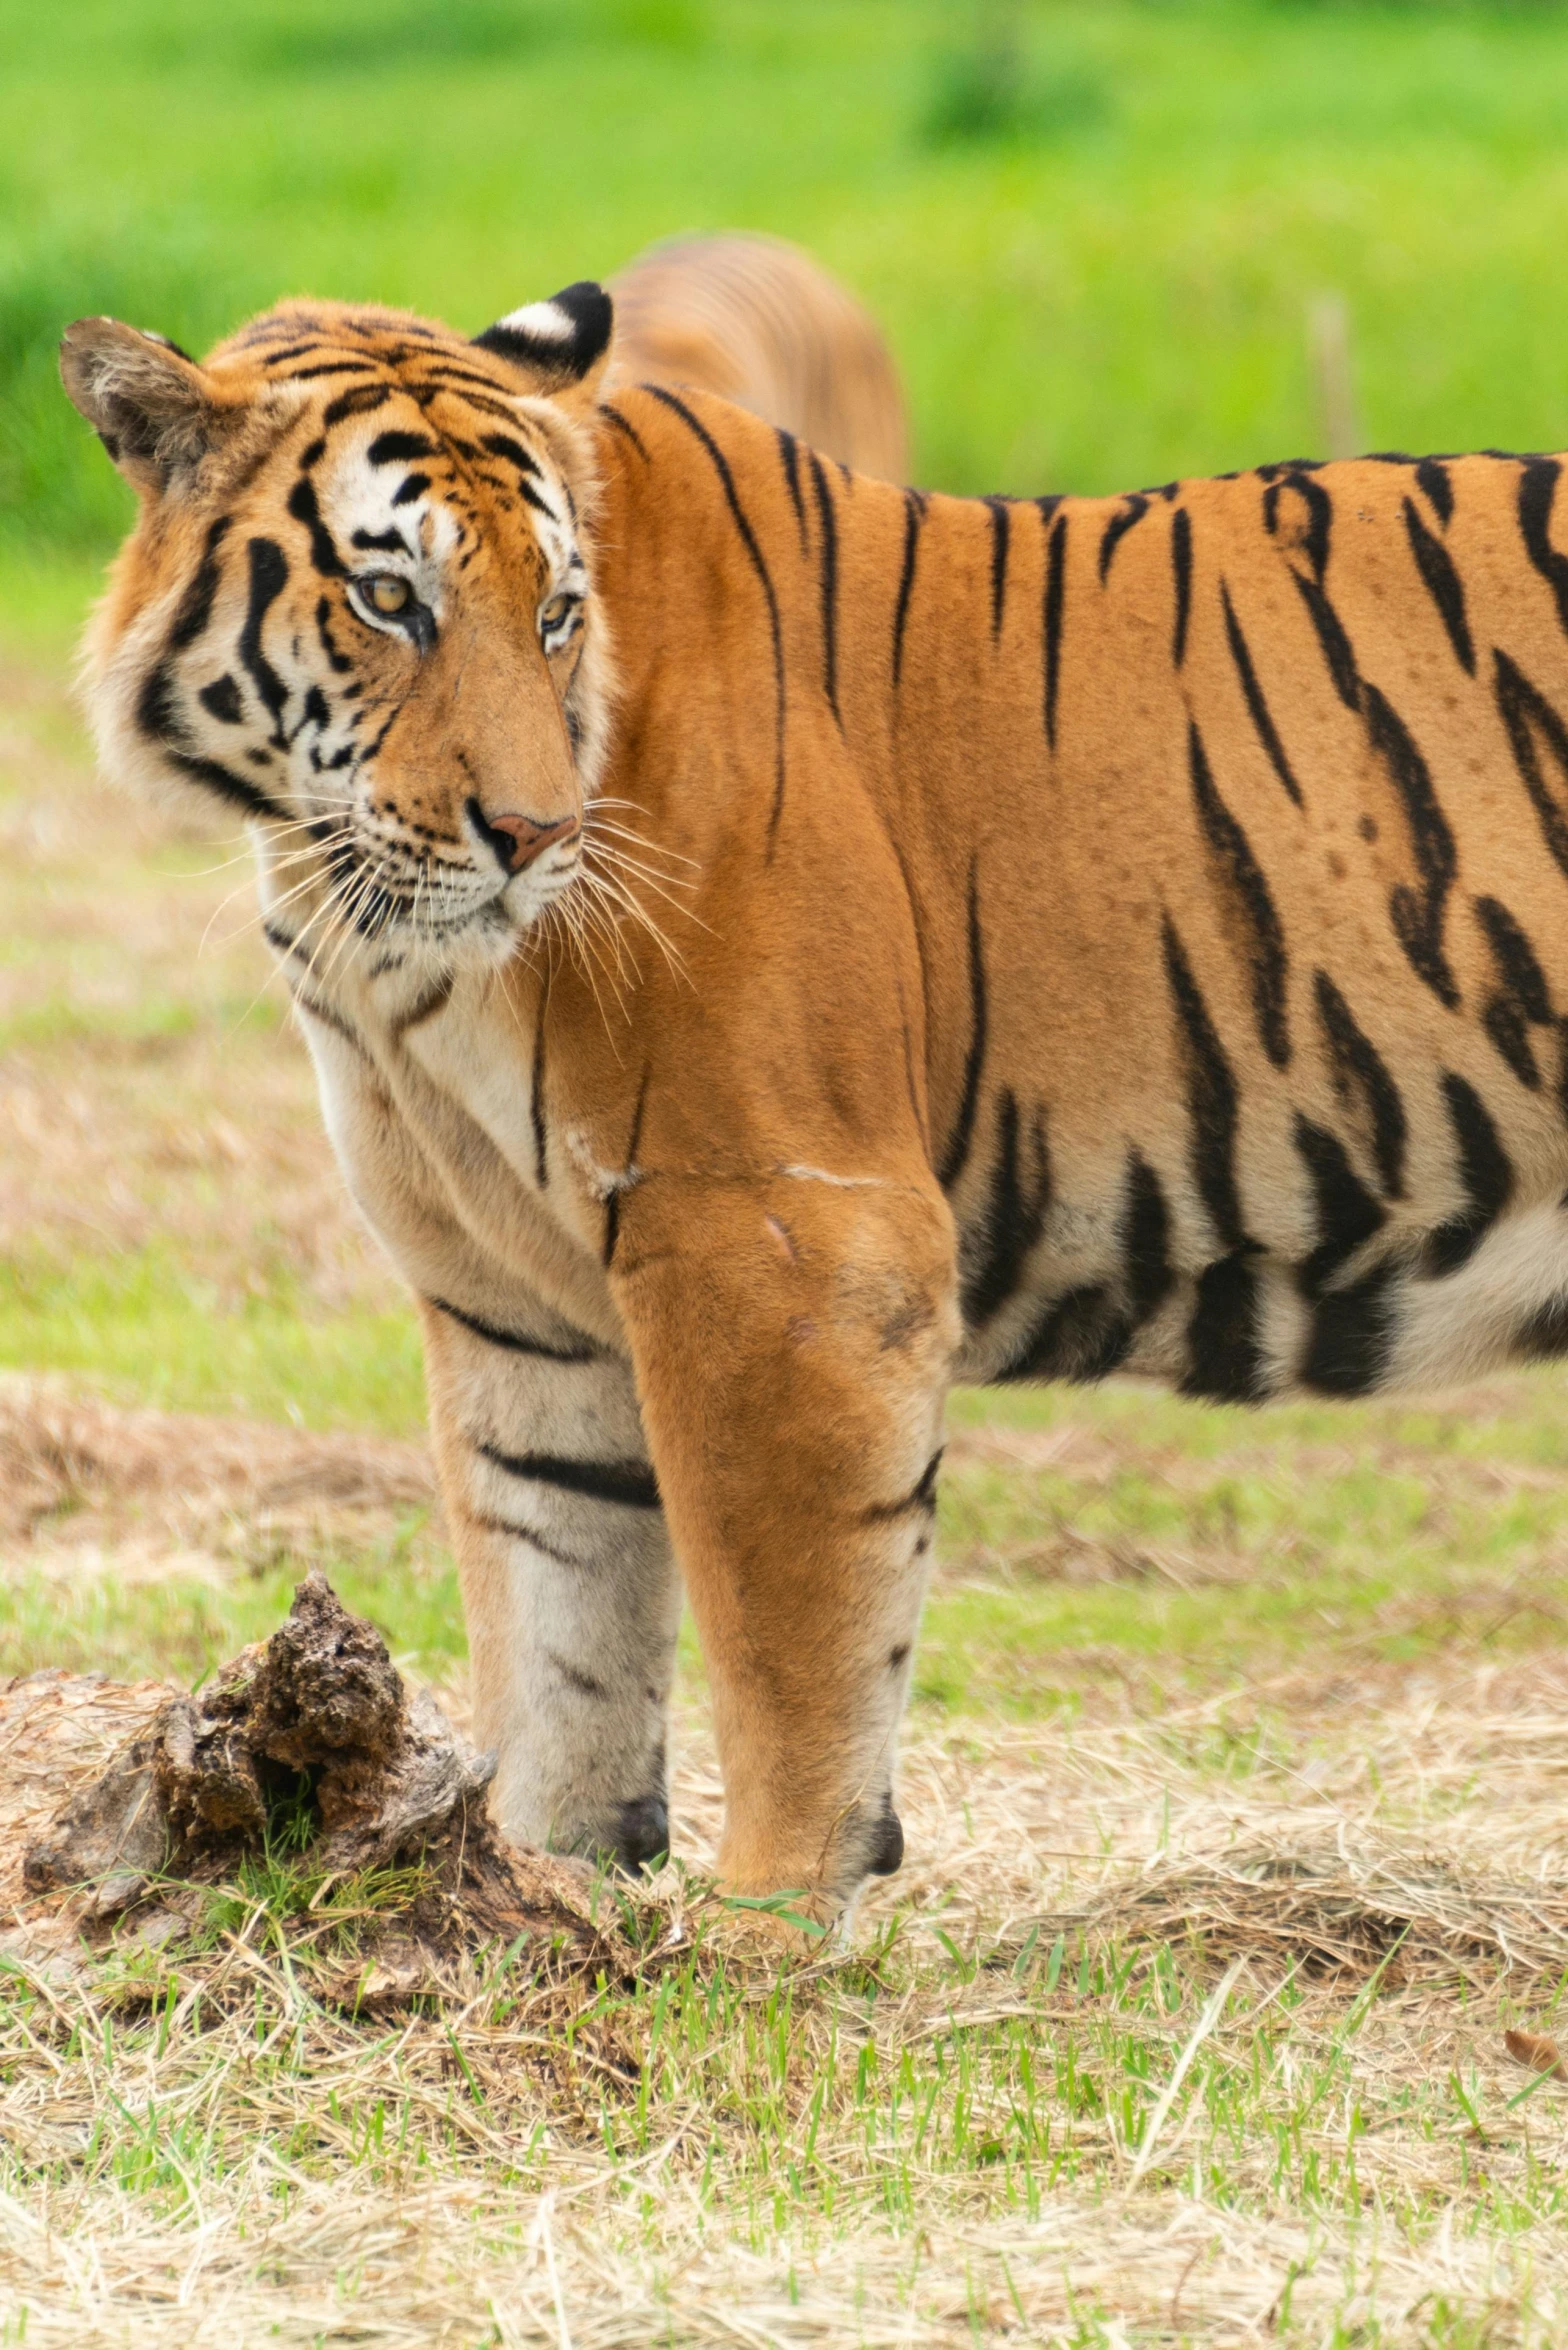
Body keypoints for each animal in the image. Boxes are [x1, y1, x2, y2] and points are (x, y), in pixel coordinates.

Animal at [61, 279, 1568, 1926]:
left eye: (555, 612)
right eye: (392, 601)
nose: (536, 835)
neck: (373, 936)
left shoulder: (781, 1235)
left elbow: (785, 1638)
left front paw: (764, 1932)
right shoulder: (510, 1303)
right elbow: (556, 1632)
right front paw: (537, 1904)